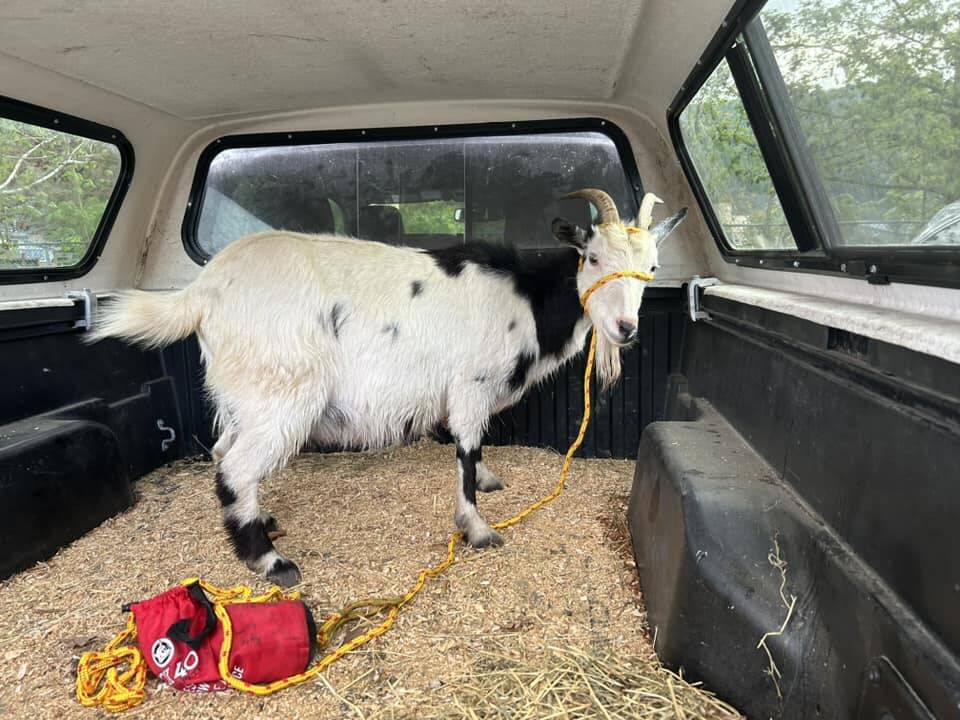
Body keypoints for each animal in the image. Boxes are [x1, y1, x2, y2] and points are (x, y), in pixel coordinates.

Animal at [90, 187, 688, 584]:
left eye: (653, 269)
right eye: (593, 257)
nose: (625, 329)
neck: (525, 297)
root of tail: (204, 289)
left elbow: (474, 449)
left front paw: (488, 483)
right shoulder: (470, 383)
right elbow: (465, 450)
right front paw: (477, 528)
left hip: (242, 396)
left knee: (223, 453)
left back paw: (263, 521)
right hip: (283, 391)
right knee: (236, 467)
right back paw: (271, 561)